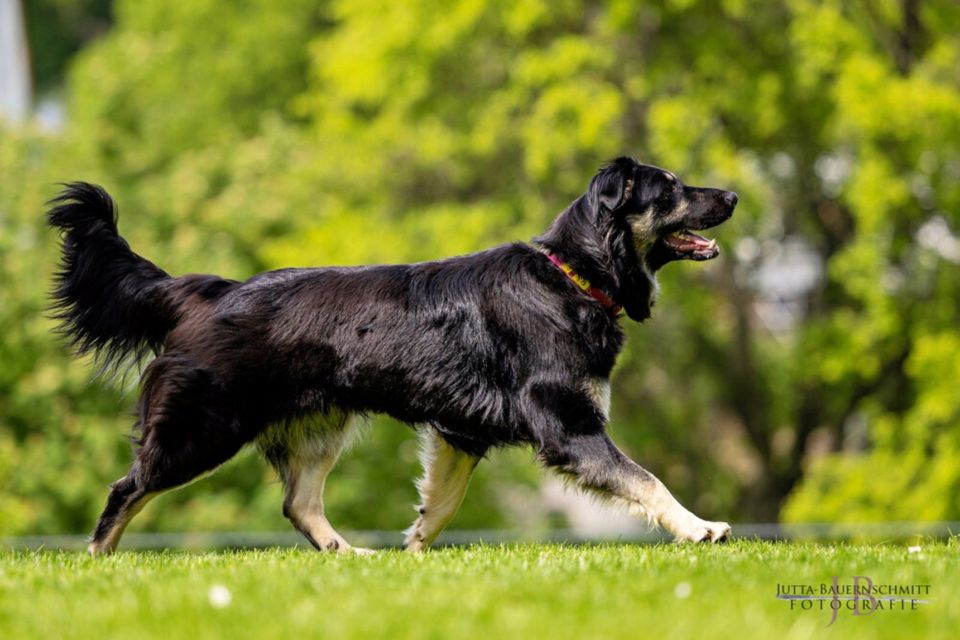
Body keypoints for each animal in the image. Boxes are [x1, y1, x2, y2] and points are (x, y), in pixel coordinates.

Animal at [47, 158, 736, 552]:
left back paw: (350, 558)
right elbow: (647, 480)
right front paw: (701, 527)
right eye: (670, 188)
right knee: (127, 488)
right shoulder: (569, 428)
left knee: (299, 504)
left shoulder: (461, 431)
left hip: (320, 426)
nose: (731, 196)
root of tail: (203, 292)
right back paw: (99, 563)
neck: (570, 274)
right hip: (202, 430)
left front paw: (414, 551)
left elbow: (443, 502)